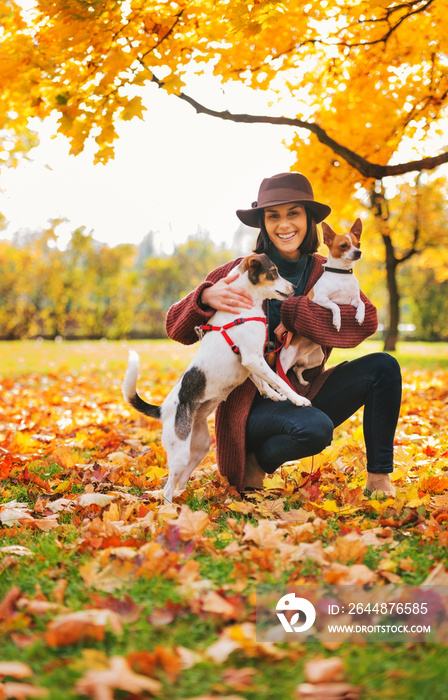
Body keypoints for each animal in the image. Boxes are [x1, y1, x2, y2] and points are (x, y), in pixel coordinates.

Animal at [122, 254, 312, 500]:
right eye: (274, 272)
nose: (295, 288)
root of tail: (162, 410)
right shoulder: (252, 358)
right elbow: (278, 380)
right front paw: (297, 399)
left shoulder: (249, 362)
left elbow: (261, 381)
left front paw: (273, 395)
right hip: (180, 452)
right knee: (168, 487)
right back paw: (169, 507)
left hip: (201, 446)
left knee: (181, 481)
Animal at [280, 217, 364, 386]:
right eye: (344, 245)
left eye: (358, 244)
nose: (358, 252)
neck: (342, 274)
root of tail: (299, 357)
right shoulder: (320, 299)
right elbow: (335, 306)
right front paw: (337, 322)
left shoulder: (354, 301)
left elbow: (362, 304)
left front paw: (360, 316)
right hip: (286, 360)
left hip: (316, 359)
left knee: (297, 369)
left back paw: (303, 381)